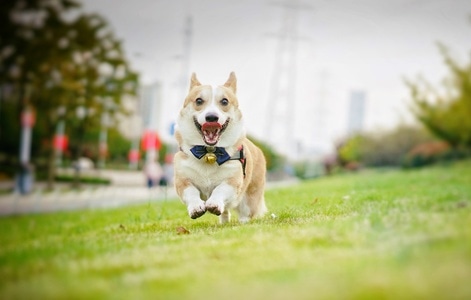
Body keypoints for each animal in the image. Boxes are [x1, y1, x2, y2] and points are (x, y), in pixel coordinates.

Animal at [174, 72, 270, 223]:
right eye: (199, 101)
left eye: (224, 101)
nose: (211, 117)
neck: (209, 153)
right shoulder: (182, 180)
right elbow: (191, 192)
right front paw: (196, 207)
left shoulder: (233, 181)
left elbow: (220, 189)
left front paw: (213, 203)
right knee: (225, 211)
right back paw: (223, 222)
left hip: (250, 197)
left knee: (245, 212)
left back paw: (243, 222)